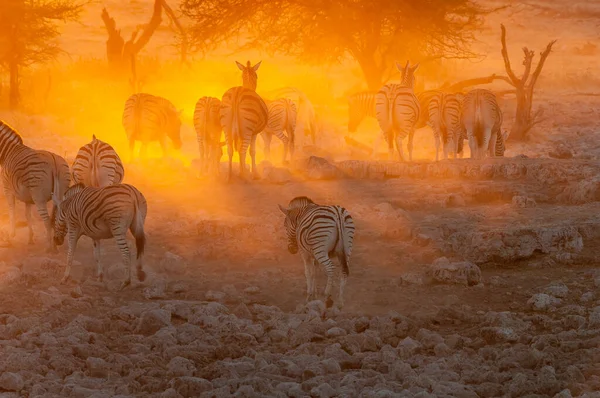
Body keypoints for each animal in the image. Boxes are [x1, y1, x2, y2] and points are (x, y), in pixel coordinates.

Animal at [0, 121, 70, 250]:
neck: (9, 151)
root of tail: (54, 162)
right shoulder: (28, 197)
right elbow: (28, 216)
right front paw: (30, 239)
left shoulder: (7, 188)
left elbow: (12, 210)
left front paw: (11, 235)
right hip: (61, 190)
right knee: (55, 218)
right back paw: (56, 242)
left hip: (39, 197)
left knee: (47, 220)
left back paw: (50, 247)